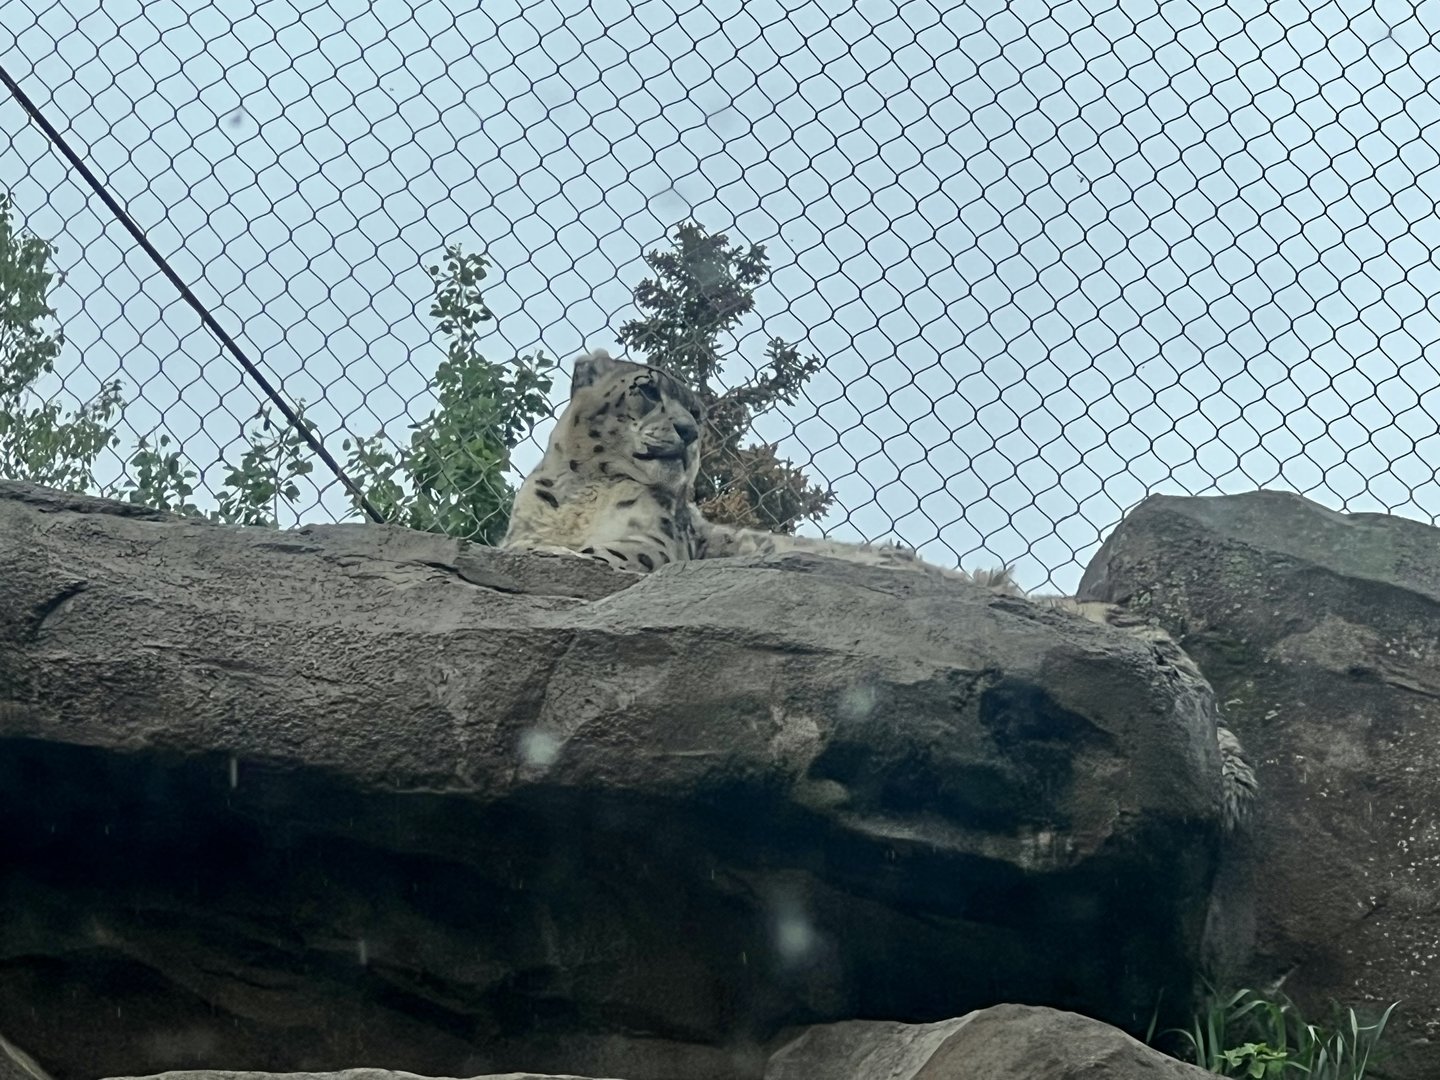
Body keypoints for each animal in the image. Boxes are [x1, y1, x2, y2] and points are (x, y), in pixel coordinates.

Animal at [502, 348, 1257, 831]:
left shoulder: (653, 547)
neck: (582, 490)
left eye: (700, 410)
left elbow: (599, 554)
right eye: (646, 390)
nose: (688, 434)